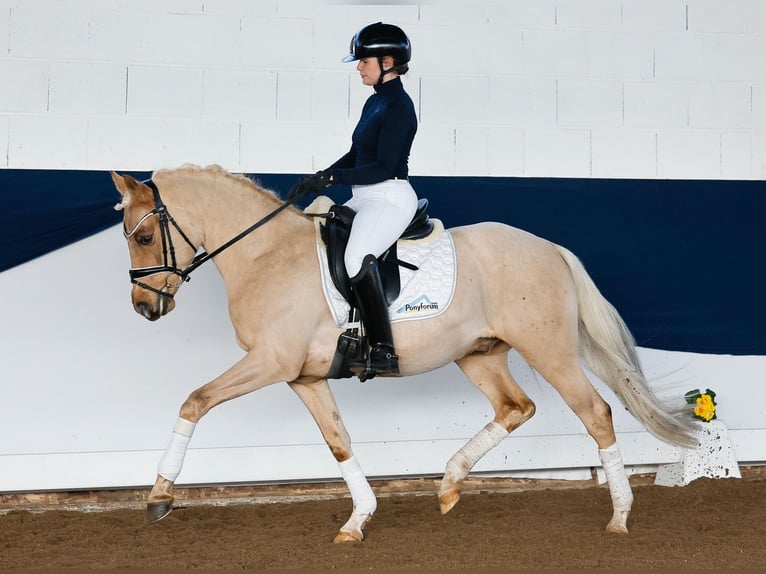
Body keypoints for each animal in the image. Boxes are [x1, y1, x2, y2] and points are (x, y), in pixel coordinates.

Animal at [112, 164, 696, 544]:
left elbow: (194, 400)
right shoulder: (303, 377)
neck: (265, 255)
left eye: (142, 238)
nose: (143, 307)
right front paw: (358, 520)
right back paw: (450, 484)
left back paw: (619, 517)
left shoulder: (270, 364)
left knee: (595, 413)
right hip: (479, 354)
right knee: (515, 407)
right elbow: (338, 442)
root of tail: (549, 247)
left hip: (548, 351)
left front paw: (159, 496)